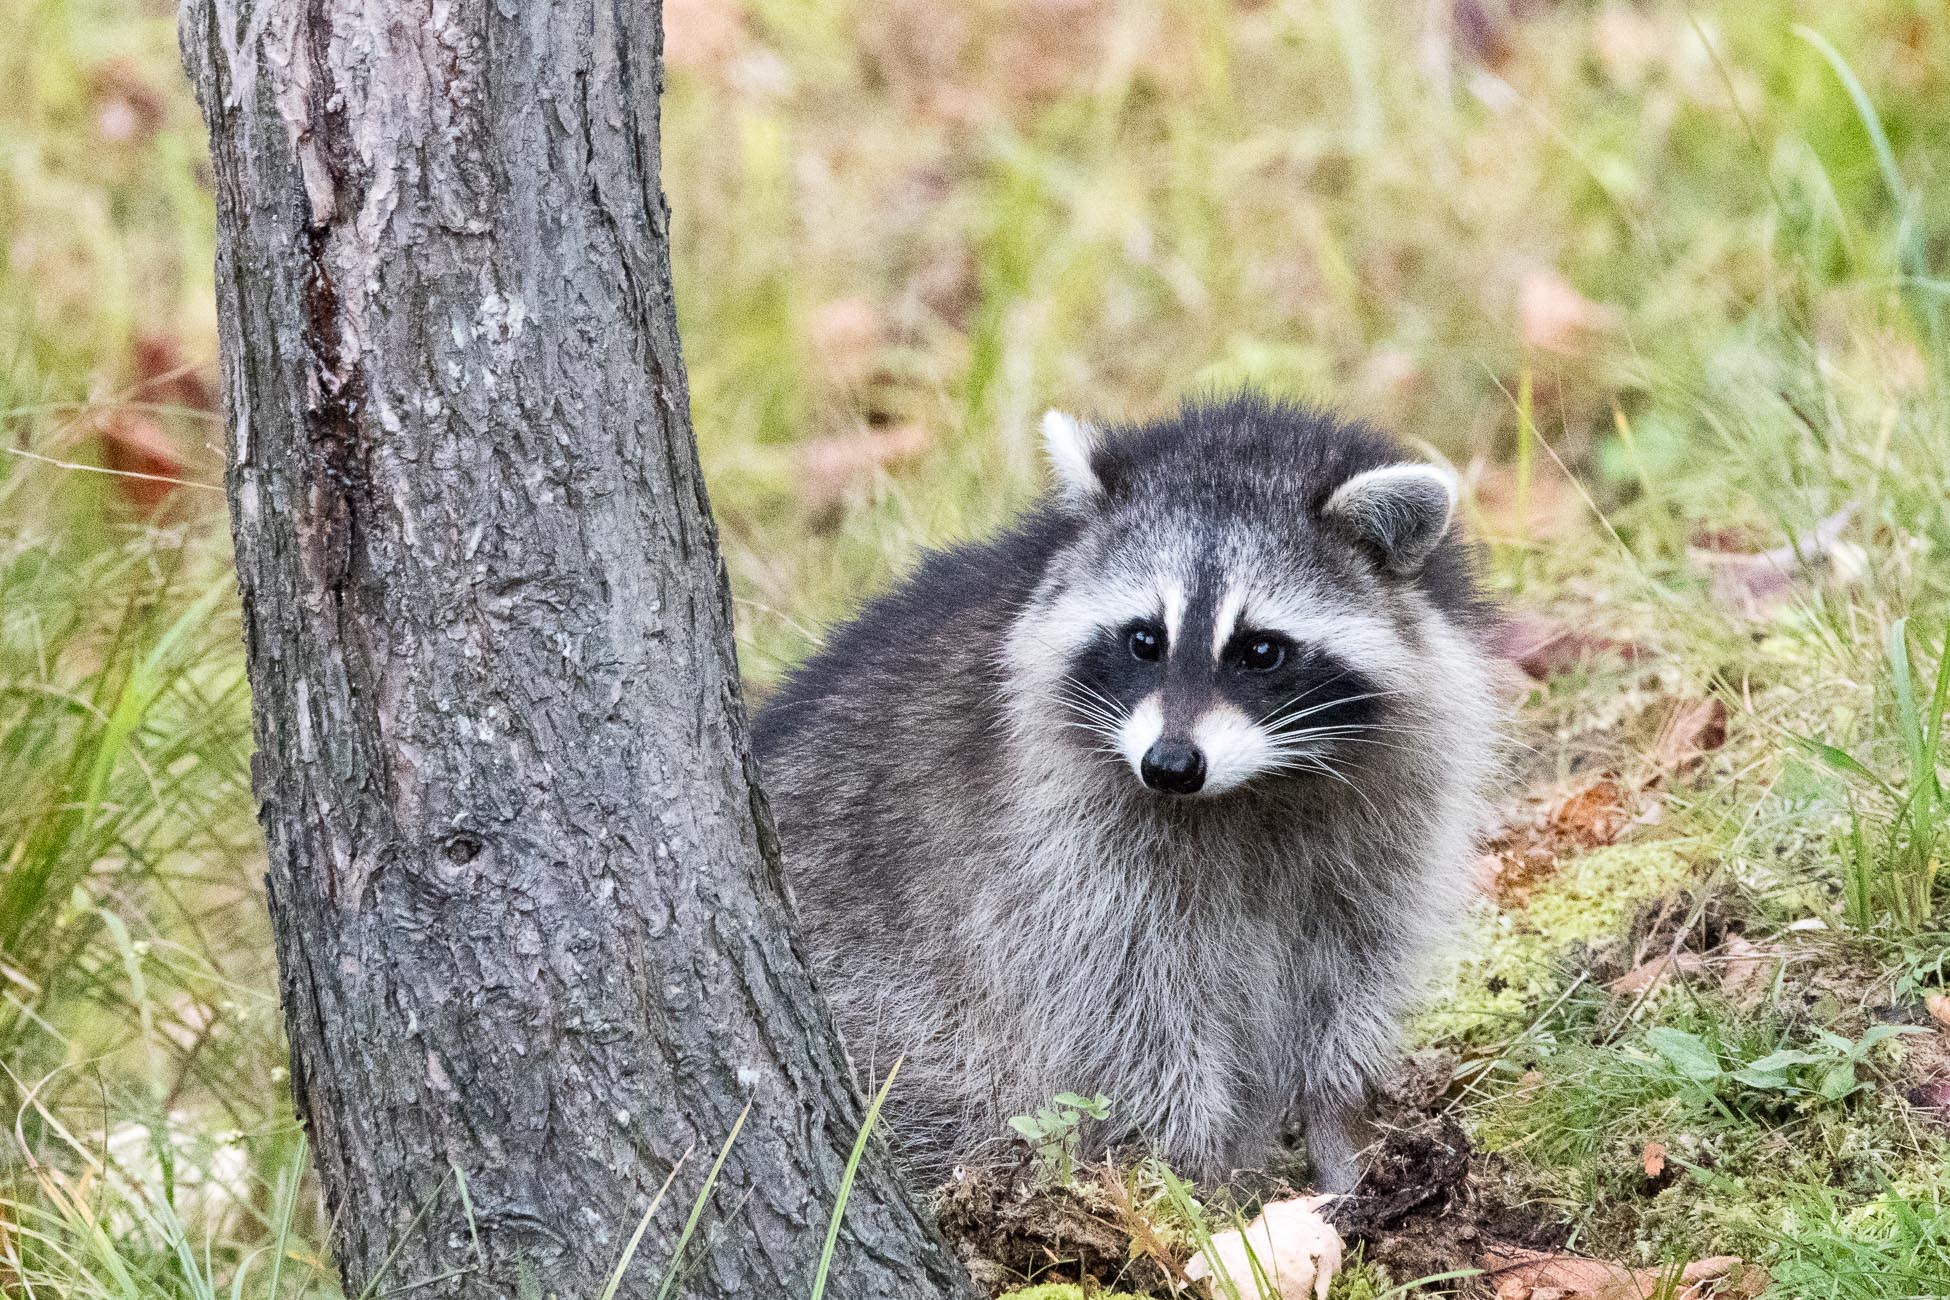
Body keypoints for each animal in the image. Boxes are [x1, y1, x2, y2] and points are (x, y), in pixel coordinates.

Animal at [752, 393, 1497, 1192]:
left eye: (1262, 650)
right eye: (1144, 639)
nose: (1169, 766)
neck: (1251, 789)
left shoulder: (1394, 806)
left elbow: (1352, 978)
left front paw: (1341, 1138)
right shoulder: (1057, 843)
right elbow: (1129, 1010)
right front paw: (1198, 1184)